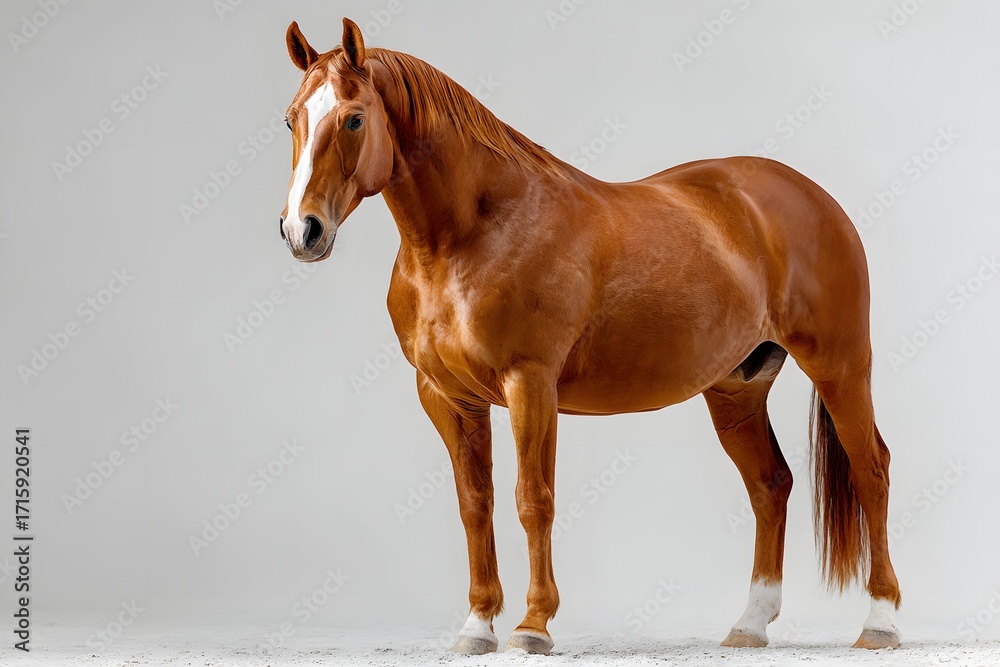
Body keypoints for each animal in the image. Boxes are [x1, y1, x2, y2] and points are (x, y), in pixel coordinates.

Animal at [277, 17, 901, 655]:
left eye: (354, 118)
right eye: (291, 119)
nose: (303, 231)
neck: (474, 234)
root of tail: (811, 197)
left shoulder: (530, 384)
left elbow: (533, 500)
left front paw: (532, 626)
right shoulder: (447, 397)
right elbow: (475, 504)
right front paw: (477, 626)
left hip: (840, 367)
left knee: (872, 470)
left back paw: (880, 621)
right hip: (737, 389)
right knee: (770, 484)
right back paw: (749, 624)